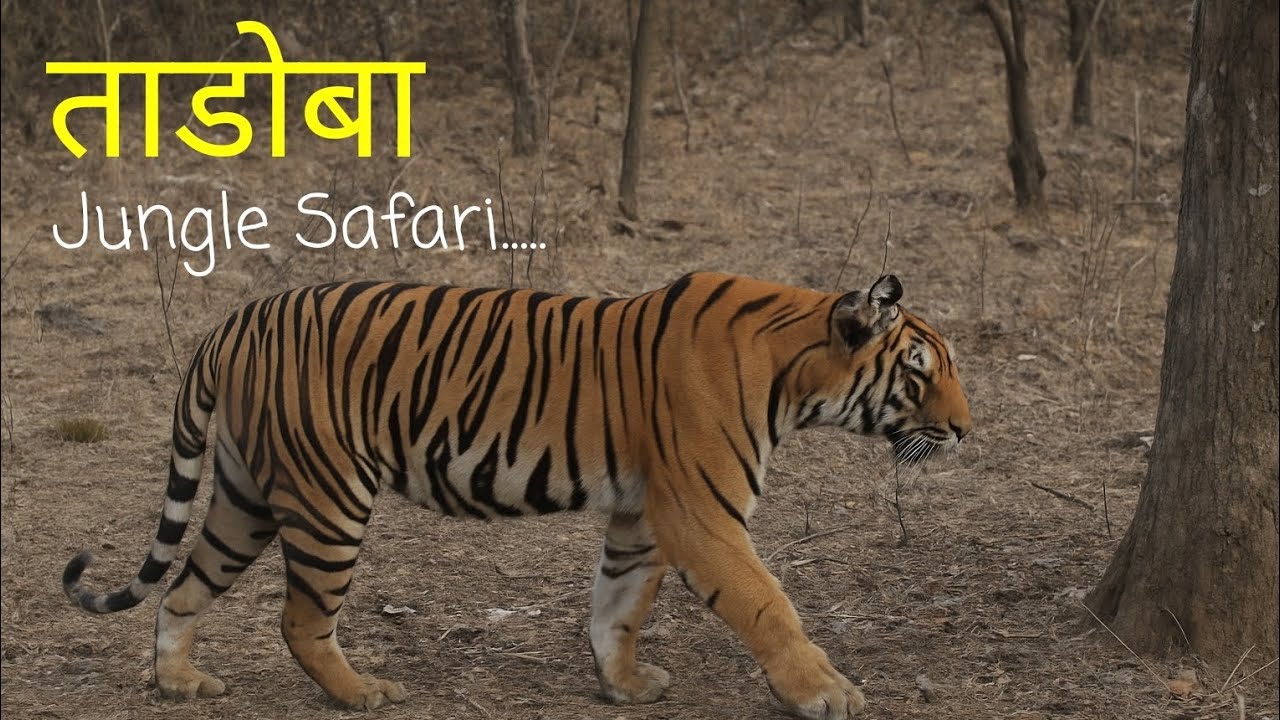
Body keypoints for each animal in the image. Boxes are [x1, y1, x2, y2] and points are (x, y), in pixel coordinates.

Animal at [62, 271, 971, 720]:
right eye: (920, 372)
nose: (965, 430)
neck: (794, 373)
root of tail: (228, 324)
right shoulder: (701, 513)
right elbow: (767, 604)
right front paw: (826, 692)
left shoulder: (644, 510)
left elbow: (617, 605)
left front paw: (623, 686)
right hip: (328, 498)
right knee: (300, 620)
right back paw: (363, 694)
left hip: (244, 497)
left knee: (182, 588)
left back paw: (180, 683)